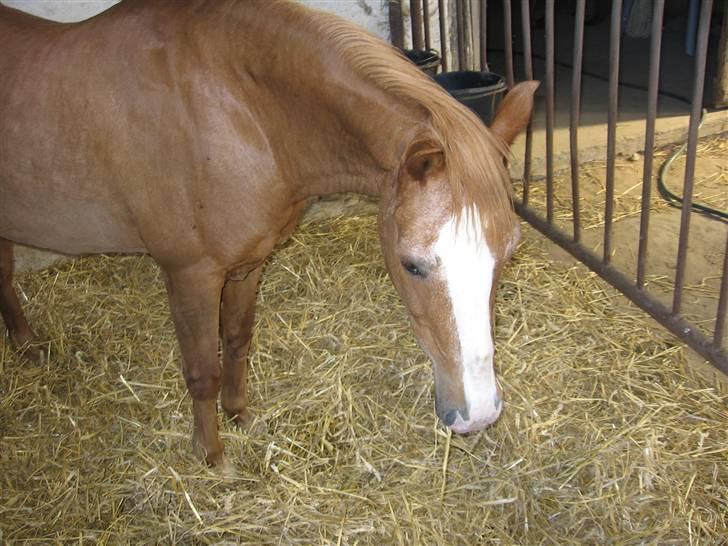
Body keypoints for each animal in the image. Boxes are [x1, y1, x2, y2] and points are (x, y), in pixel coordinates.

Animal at [0, 0, 536, 464]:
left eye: (508, 254)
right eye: (412, 265)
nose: (478, 415)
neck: (239, 112)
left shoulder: (249, 262)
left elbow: (237, 340)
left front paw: (240, 416)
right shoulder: (190, 275)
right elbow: (203, 369)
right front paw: (212, 456)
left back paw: (28, 348)